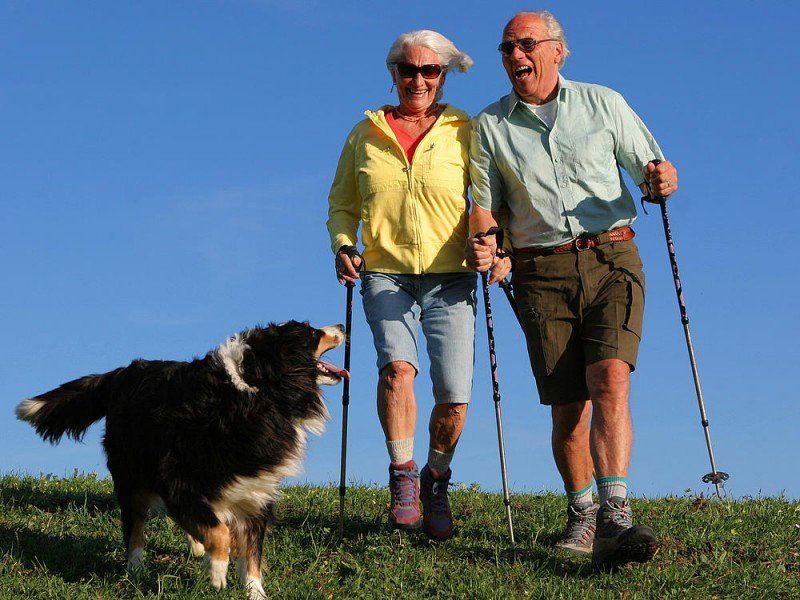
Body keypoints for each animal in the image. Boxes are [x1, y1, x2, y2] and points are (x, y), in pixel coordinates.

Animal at [16, 322, 346, 596]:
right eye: (313, 332)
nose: (342, 326)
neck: (257, 391)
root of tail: (122, 373)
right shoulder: (179, 480)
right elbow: (221, 534)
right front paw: (217, 575)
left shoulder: (256, 493)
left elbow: (251, 555)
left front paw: (254, 593)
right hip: (131, 474)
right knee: (135, 526)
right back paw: (137, 568)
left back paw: (195, 547)